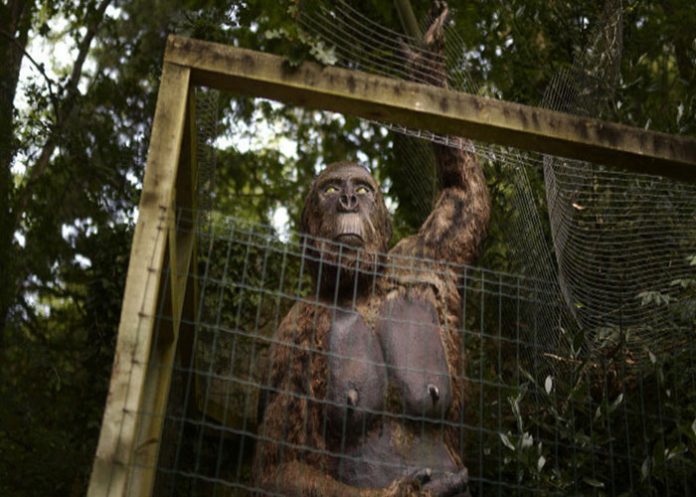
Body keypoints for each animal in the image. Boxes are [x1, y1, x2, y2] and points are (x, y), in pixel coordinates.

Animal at [252, 6, 490, 497]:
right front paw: (408, 489)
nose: (347, 200)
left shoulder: (428, 254)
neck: (358, 288)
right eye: (329, 189)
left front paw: (427, 65)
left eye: (362, 188)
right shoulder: (290, 342)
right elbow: (278, 465)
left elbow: (466, 197)